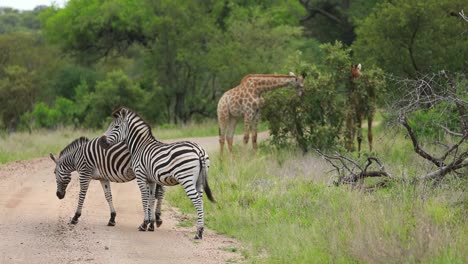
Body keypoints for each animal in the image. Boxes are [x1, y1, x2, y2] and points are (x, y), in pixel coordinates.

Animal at [99, 106, 217, 239]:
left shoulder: (141, 176)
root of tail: (198, 149)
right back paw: (200, 230)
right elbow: (151, 199)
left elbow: (144, 198)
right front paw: (151, 225)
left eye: (116, 127)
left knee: (197, 201)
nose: (101, 141)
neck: (139, 146)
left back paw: (198, 232)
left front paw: (144, 224)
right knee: (201, 201)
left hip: (186, 179)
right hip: (199, 181)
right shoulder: (151, 180)